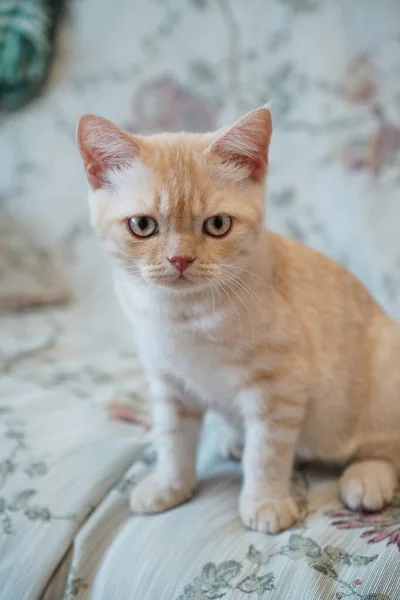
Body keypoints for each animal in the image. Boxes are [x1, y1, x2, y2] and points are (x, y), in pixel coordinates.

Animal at [76, 108, 398, 536]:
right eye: (142, 225)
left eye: (217, 225)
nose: (180, 260)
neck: (184, 315)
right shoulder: (168, 380)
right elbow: (171, 438)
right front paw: (169, 486)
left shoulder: (279, 384)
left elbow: (268, 452)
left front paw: (265, 502)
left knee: (385, 447)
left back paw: (366, 479)